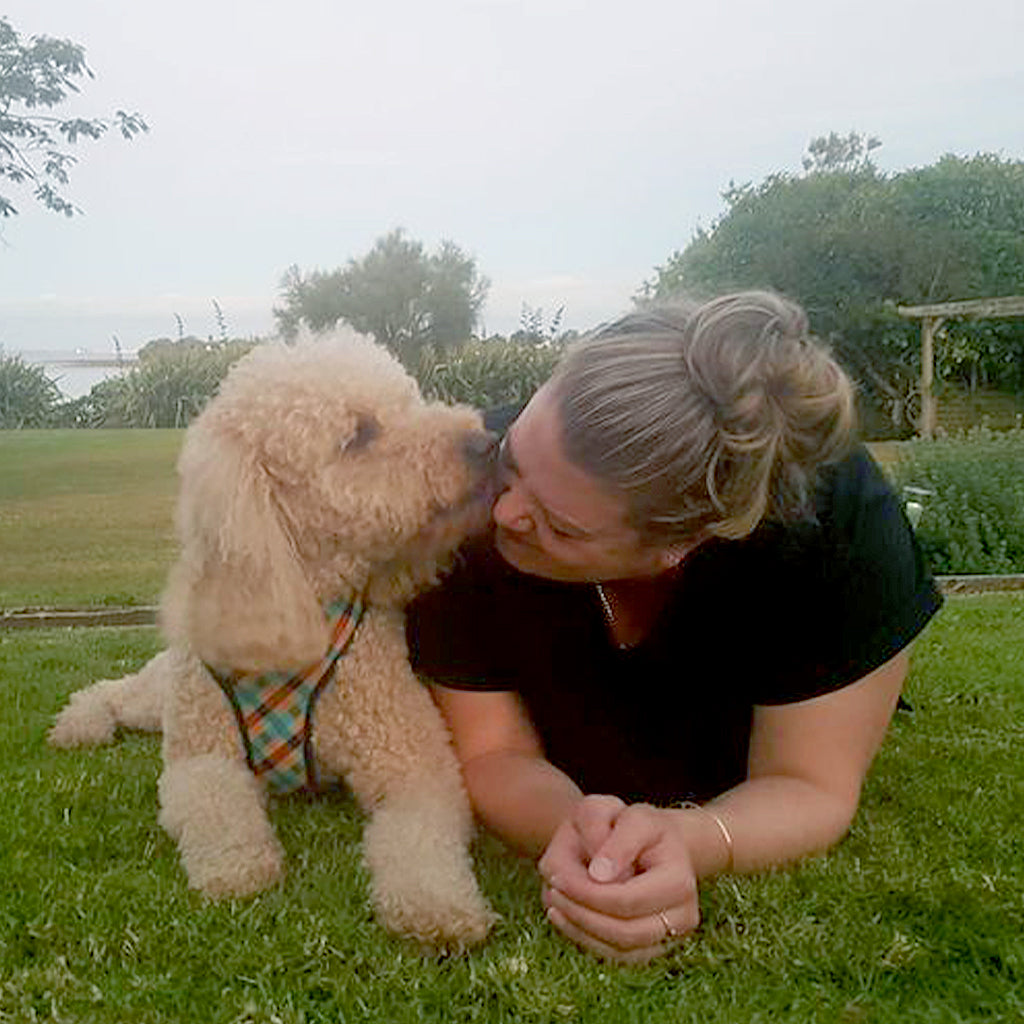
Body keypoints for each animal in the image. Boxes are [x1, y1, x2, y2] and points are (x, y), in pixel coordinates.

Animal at [50, 335, 495, 950]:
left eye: (412, 399)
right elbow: (217, 805)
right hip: (166, 698)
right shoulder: (200, 759)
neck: (305, 603)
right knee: (111, 690)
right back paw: (79, 724)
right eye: (359, 434)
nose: (486, 442)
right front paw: (237, 867)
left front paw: (436, 905)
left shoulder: (415, 762)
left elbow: (420, 838)